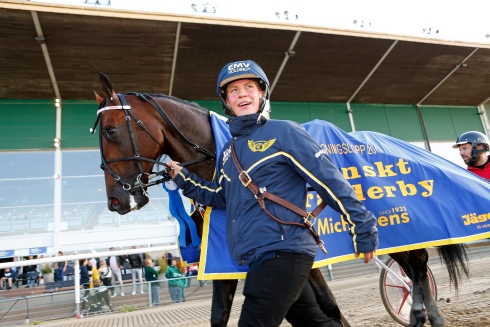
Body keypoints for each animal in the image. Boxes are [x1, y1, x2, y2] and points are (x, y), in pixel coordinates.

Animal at [94, 73, 468, 327]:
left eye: (110, 131)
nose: (115, 201)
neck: (219, 155)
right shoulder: (224, 258)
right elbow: (220, 315)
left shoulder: (305, 250)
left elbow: (328, 306)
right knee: (414, 266)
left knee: (417, 265)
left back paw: (424, 313)